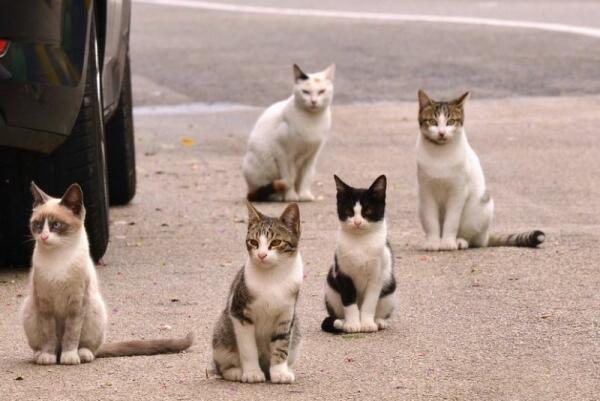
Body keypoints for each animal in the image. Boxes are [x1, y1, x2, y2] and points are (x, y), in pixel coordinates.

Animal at [21, 183, 193, 364]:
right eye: (38, 225)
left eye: (56, 225)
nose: (44, 236)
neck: (58, 258)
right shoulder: (45, 304)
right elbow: (48, 335)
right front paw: (48, 356)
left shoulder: (76, 303)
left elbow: (71, 334)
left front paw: (69, 357)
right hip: (29, 309)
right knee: (49, 345)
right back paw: (42, 354)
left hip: (94, 309)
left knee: (90, 347)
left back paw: (81, 354)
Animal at [212, 202, 304, 382]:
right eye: (253, 242)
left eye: (276, 242)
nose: (261, 255)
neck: (273, 277)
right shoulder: (240, 313)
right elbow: (248, 348)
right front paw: (252, 372)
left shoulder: (286, 316)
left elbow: (281, 345)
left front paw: (279, 372)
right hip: (221, 334)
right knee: (222, 366)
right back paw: (235, 371)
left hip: (296, 332)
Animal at [244, 63, 338, 202]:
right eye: (306, 92)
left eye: (321, 91)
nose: (313, 101)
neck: (312, 120)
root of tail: (249, 189)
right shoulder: (283, 153)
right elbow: (289, 177)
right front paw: (291, 196)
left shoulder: (312, 155)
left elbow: (306, 177)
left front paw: (304, 195)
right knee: (264, 190)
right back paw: (278, 196)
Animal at [322, 175, 396, 334]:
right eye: (349, 211)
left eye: (368, 211)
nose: (357, 222)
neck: (360, 241)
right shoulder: (343, 273)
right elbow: (349, 302)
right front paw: (353, 324)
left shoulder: (377, 276)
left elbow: (370, 302)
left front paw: (367, 323)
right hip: (331, 289)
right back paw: (342, 322)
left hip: (390, 288)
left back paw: (379, 321)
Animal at [414, 90, 548, 250]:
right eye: (433, 122)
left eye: (450, 122)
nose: (441, 133)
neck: (440, 153)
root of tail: (486, 235)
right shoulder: (426, 191)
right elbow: (431, 220)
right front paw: (433, 242)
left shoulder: (458, 191)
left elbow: (452, 221)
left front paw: (447, 242)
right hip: (421, 206)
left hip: (480, 208)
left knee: (475, 240)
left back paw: (460, 241)